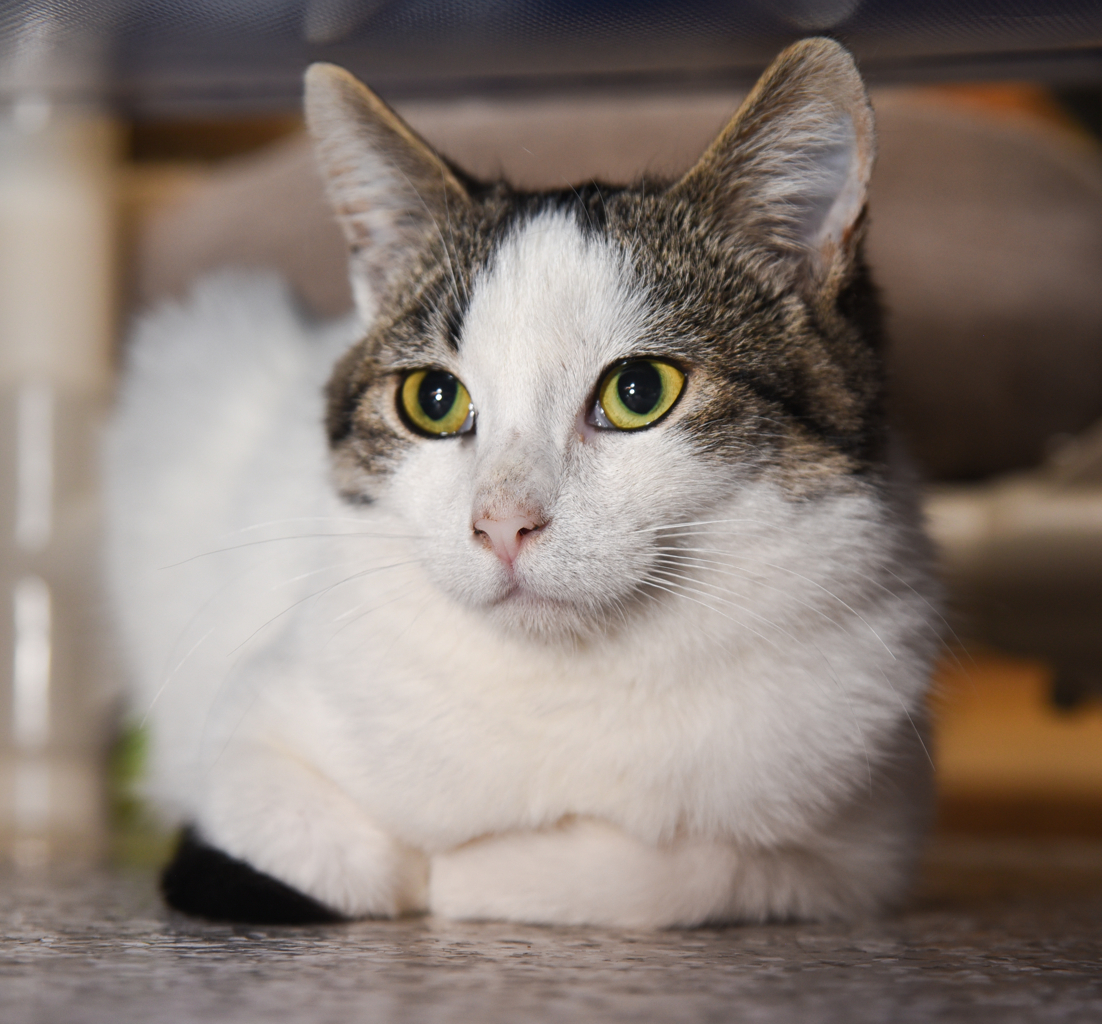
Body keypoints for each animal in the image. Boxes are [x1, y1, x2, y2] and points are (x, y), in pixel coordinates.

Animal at [107, 38, 938, 925]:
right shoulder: (250, 725)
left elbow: (689, 867)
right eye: (433, 400)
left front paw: (487, 874)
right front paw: (426, 871)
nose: (502, 522)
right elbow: (330, 853)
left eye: (639, 390)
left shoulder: (871, 839)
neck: (564, 680)